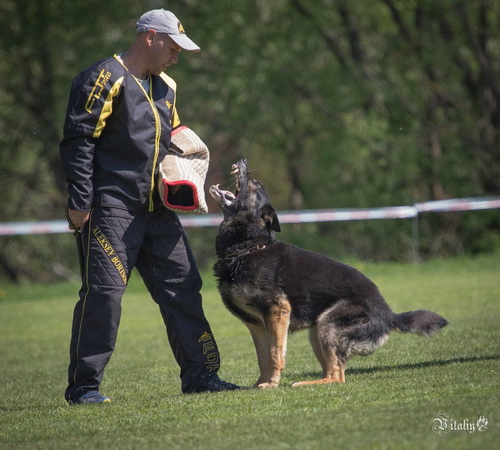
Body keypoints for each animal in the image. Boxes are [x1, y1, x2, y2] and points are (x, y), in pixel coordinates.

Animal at [209, 160, 448, 388]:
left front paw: (272, 384)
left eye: (256, 183)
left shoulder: (277, 311)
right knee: (333, 371)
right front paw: (262, 383)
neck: (247, 247)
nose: (243, 160)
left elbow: (275, 353)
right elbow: (263, 357)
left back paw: (305, 384)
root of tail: (389, 315)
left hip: (328, 325)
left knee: (337, 376)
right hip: (317, 332)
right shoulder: (257, 325)